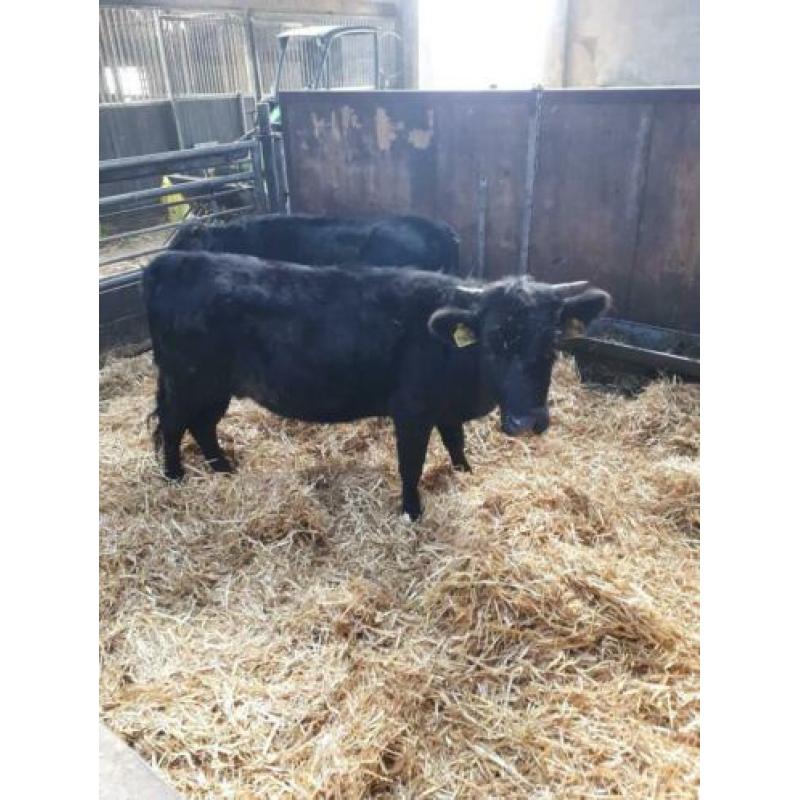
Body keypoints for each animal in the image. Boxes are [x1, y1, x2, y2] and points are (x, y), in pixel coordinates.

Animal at [143, 252, 610, 520]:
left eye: (552, 342)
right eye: (494, 342)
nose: (527, 422)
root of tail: (173, 261)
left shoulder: (445, 408)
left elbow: (456, 443)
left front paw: (466, 474)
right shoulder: (412, 411)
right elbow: (411, 465)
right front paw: (411, 512)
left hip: (213, 386)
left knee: (203, 426)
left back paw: (223, 469)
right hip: (186, 380)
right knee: (174, 426)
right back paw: (175, 477)